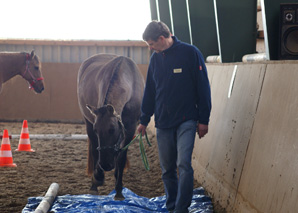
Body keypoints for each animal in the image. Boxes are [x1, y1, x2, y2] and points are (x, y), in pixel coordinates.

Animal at [77, 53, 144, 200]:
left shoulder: (130, 129)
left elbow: (121, 157)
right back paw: (95, 184)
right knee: (94, 150)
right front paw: (98, 177)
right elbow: (97, 152)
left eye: (112, 130)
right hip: (87, 122)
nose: (105, 165)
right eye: (96, 130)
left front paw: (119, 190)